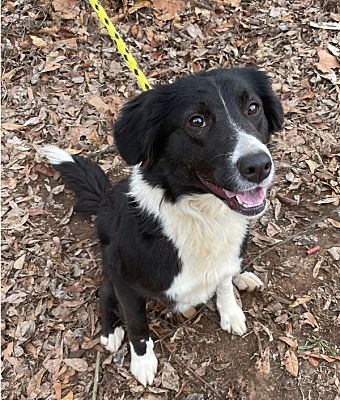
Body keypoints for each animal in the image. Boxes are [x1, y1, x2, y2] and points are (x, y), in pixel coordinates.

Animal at [42, 67, 282, 386]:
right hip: (110, 259)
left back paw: (243, 277)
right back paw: (110, 330)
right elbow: (136, 323)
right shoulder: (125, 281)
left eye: (252, 108)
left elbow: (223, 283)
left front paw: (230, 311)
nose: (258, 166)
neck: (202, 216)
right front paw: (142, 361)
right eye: (196, 121)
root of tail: (105, 200)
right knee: (104, 292)